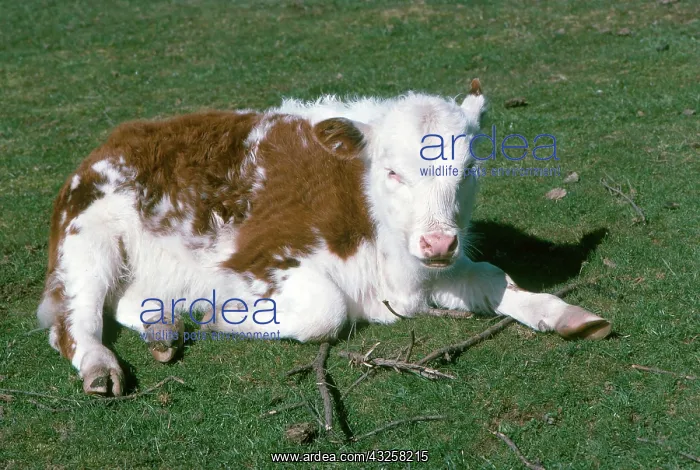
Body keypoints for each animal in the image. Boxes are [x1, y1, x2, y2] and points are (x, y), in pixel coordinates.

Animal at [37, 80, 611, 396]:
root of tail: (124, 135)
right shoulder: (255, 258)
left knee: (127, 303)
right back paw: (104, 364)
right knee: (76, 321)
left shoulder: (433, 274)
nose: (438, 244)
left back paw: (164, 324)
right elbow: (324, 310)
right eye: (392, 171)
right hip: (87, 243)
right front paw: (210, 312)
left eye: (468, 168)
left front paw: (565, 314)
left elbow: (494, 278)